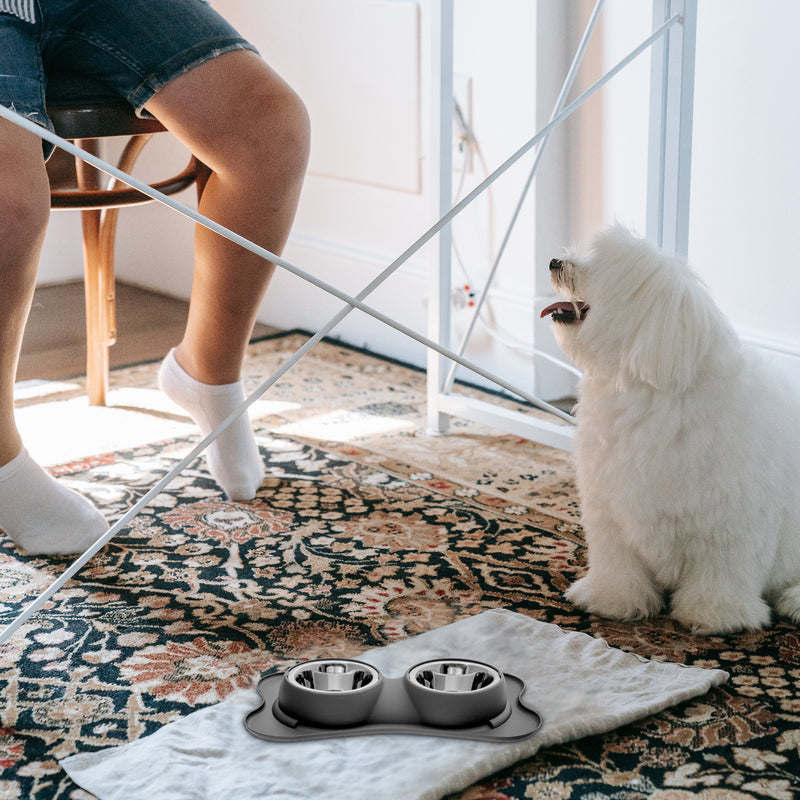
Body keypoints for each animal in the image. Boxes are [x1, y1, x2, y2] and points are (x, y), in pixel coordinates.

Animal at [540, 227, 800, 636]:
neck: (647, 396)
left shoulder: (729, 523)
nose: (554, 261)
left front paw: (715, 615)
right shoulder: (610, 511)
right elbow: (617, 564)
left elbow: (722, 573)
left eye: (602, 265)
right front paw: (611, 600)